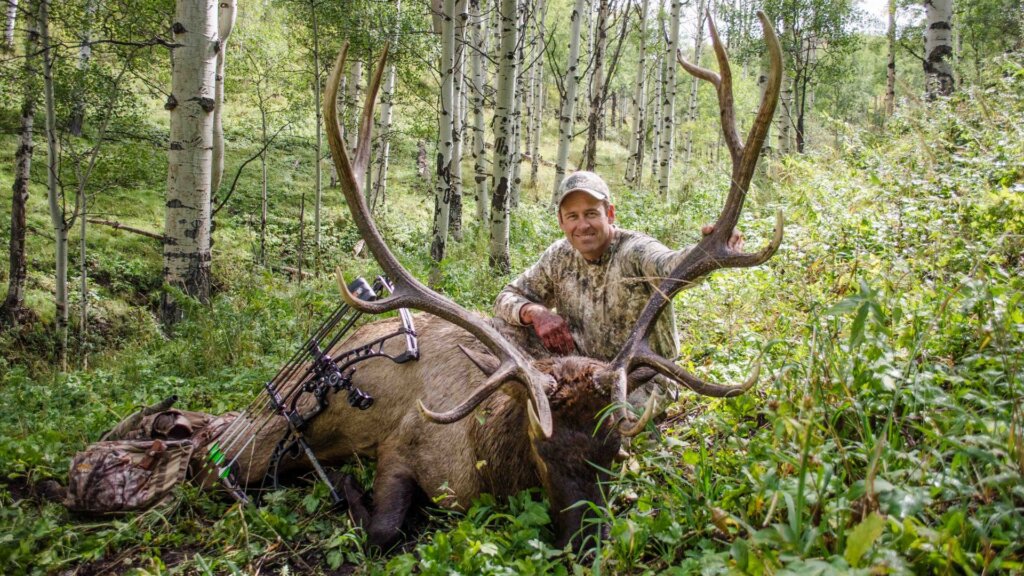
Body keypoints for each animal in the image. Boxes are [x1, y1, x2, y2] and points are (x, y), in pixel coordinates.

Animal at [212, 12, 784, 552]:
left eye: (616, 451)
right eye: (540, 447)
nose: (586, 544)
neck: (483, 462)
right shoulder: (402, 446)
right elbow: (383, 530)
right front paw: (351, 492)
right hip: (266, 435)